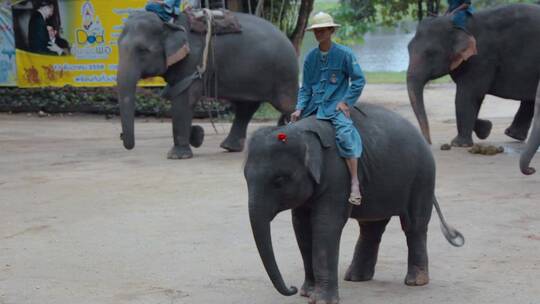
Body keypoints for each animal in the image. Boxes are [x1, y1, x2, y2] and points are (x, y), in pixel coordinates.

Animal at [115, 10, 298, 159]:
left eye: (143, 50)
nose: (121, 136)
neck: (169, 24)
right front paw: (196, 136)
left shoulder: (192, 61)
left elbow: (184, 99)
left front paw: (178, 155)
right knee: (247, 106)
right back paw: (229, 147)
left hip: (284, 74)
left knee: (288, 106)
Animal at [245, 104, 464, 304]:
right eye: (245, 178)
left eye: (279, 181)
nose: (291, 288)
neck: (301, 131)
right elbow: (302, 228)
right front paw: (307, 293)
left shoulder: (337, 175)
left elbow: (325, 226)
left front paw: (321, 300)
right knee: (372, 226)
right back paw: (356, 278)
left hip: (422, 177)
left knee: (414, 225)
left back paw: (416, 281)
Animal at [408, 3, 540, 147]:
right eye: (408, 48)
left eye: (431, 53)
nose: (429, 142)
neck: (457, 24)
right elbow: (472, 97)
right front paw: (486, 129)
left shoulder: (481, 57)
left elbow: (468, 95)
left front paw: (459, 144)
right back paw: (513, 135)